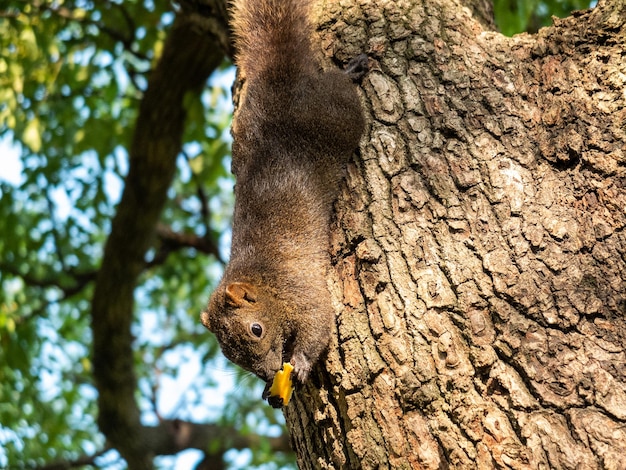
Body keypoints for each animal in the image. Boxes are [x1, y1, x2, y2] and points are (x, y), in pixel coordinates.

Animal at [200, 0, 366, 400]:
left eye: (256, 329)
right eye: (229, 355)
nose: (266, 372)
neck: (264, 281)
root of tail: (279, 80)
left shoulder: (304, 293)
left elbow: (319, 323)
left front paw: (302, 363)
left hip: (336, 115)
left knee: (340, 90)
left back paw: (350, 71)